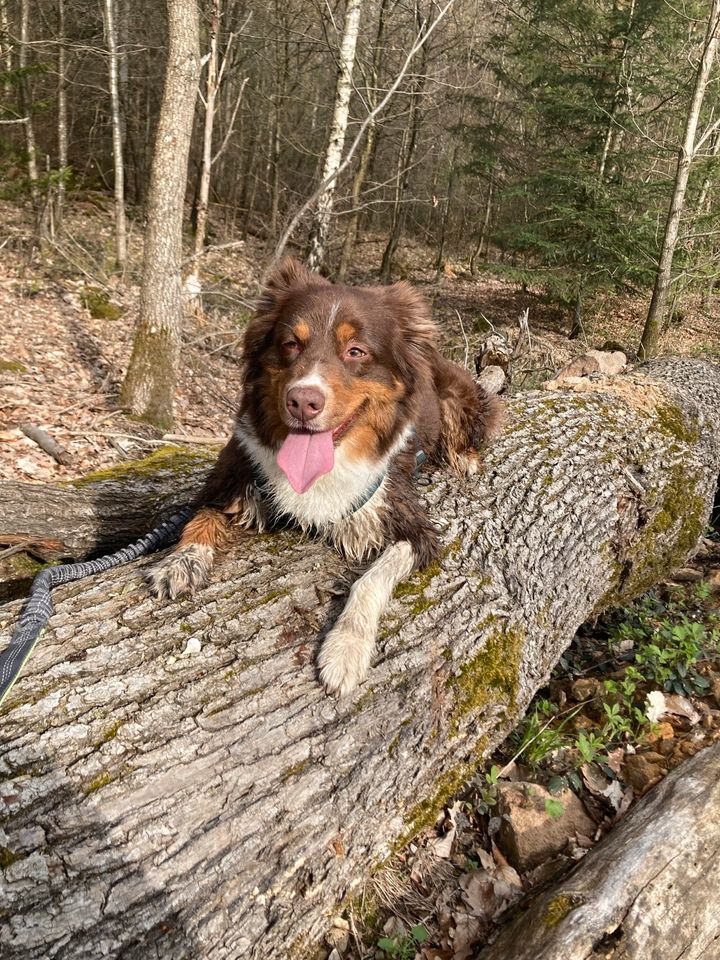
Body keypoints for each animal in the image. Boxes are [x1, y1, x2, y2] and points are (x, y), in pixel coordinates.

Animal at [149, 260, 504, 696]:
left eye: (356, 352)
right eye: (291, 344)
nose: (302, 401)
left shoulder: (412, 525)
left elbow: (371, 579)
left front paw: (346, 647)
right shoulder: (237, 475)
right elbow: (202, 515)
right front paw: (181, 561)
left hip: (457, 399)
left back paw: (465, 458)